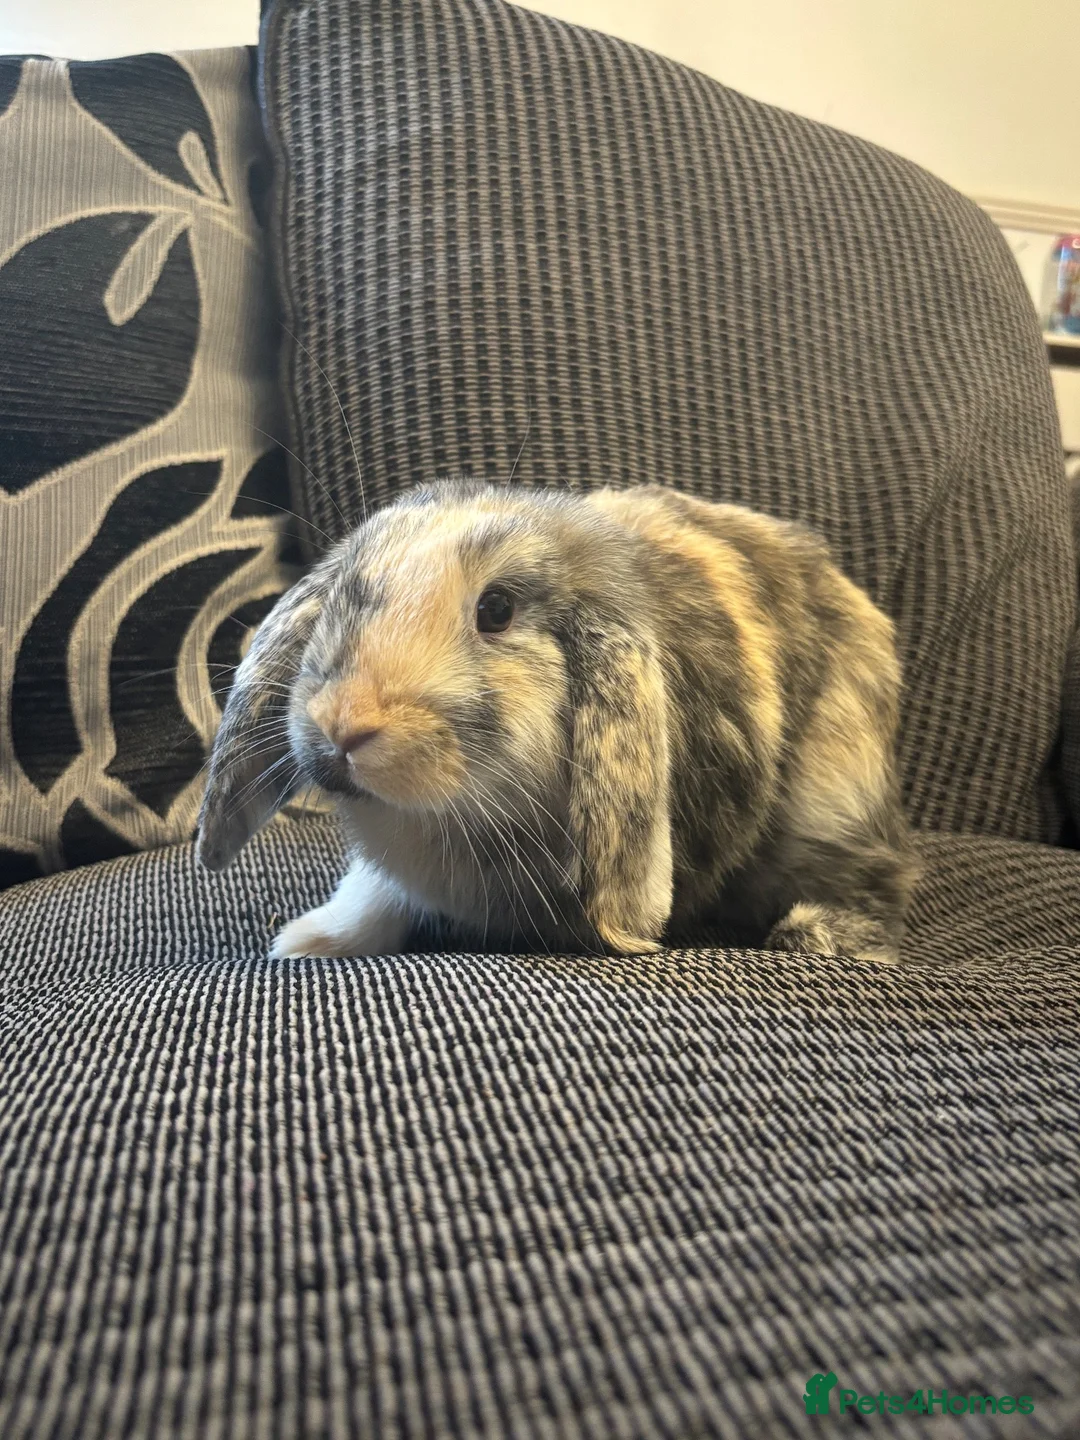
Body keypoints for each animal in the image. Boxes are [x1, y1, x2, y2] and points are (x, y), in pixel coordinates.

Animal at [197, 479, 921, 964]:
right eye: (347, 592)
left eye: (496, 609)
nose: (344, 726)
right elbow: (371, 897)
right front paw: (305, 942)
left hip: (833, 799)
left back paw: (818, 934)